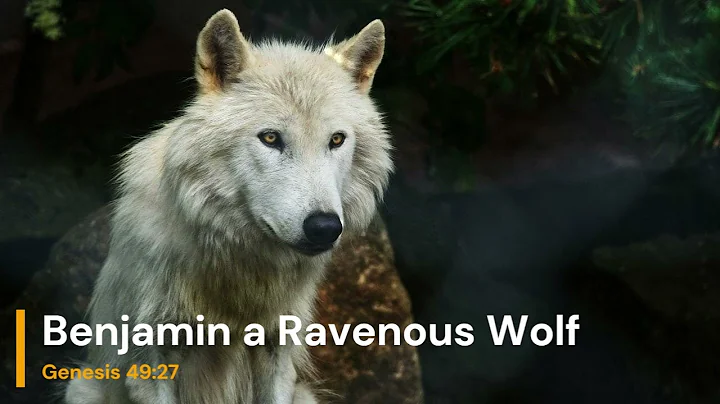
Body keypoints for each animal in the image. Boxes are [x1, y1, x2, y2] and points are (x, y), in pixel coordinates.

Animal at [64, 9, 392, 404]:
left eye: (337, 140)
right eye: (270, 138)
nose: (324, 227)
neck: (237, 267)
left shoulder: (277, 351)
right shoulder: (151, 363)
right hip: (81, 387)